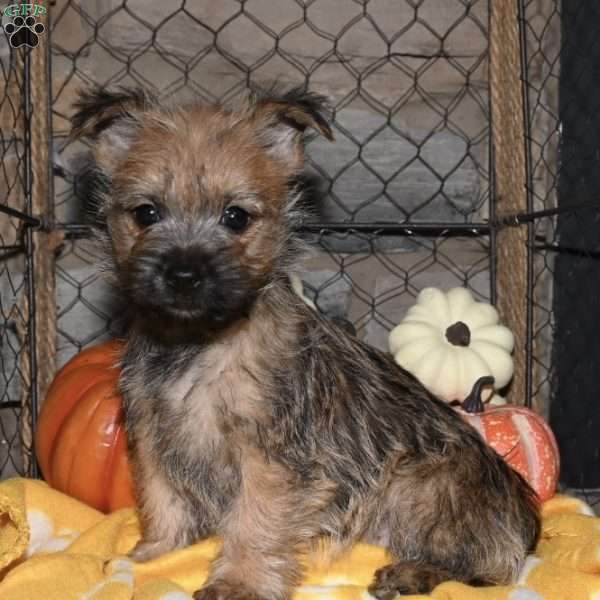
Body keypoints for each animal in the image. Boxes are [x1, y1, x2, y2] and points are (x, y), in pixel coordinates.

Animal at [70, 85, 540, 600]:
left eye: (236, 217)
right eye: (146, 213)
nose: (184, 274)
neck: (196, 344)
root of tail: (524, 517)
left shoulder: (271, 458)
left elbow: (253, 521)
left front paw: (238, 582)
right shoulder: (154, 438)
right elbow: (163, 503)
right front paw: (152, 556)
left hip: (418, 483)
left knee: (483, 564)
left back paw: (410, 573)